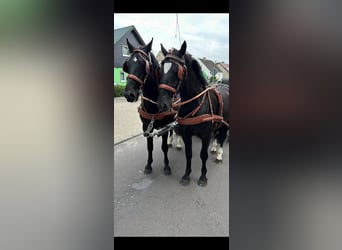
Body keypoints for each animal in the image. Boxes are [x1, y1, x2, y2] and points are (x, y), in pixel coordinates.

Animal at [123, 39, 176, 175]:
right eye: (128, 64)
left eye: (143, 64)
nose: (129, 94)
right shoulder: (146, 126)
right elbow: (149, 147)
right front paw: (148, 165)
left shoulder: (164, 126)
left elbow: (163, 147)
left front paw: (166, 166)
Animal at [158, 40, 230, 186]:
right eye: (160, 69)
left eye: (177, 71)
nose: (162, 104)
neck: (196, 103)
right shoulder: (186, 134)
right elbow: (189, 153)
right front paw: (186, 175)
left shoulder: (205, 135)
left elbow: (203, 155)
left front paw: (203, 177)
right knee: (217, 135)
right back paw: (214, 148)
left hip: (225, 123)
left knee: (221, 137)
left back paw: (219, 154)